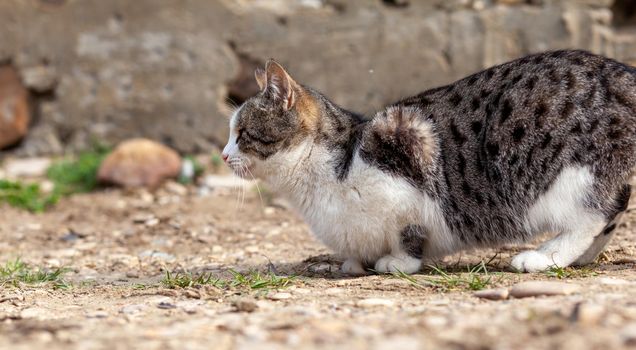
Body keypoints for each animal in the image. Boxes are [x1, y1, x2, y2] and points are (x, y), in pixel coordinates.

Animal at [220, 50, 636, 274]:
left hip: (562, 174)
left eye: (242, 133)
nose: (224, 155)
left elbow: (410, 232)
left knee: (590, 216)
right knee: (613, 210)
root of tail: (623, 71)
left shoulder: (408, 148)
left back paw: (547, 256)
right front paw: (356, 262)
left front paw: (397, 262)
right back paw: (581, 257)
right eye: (230, 134)